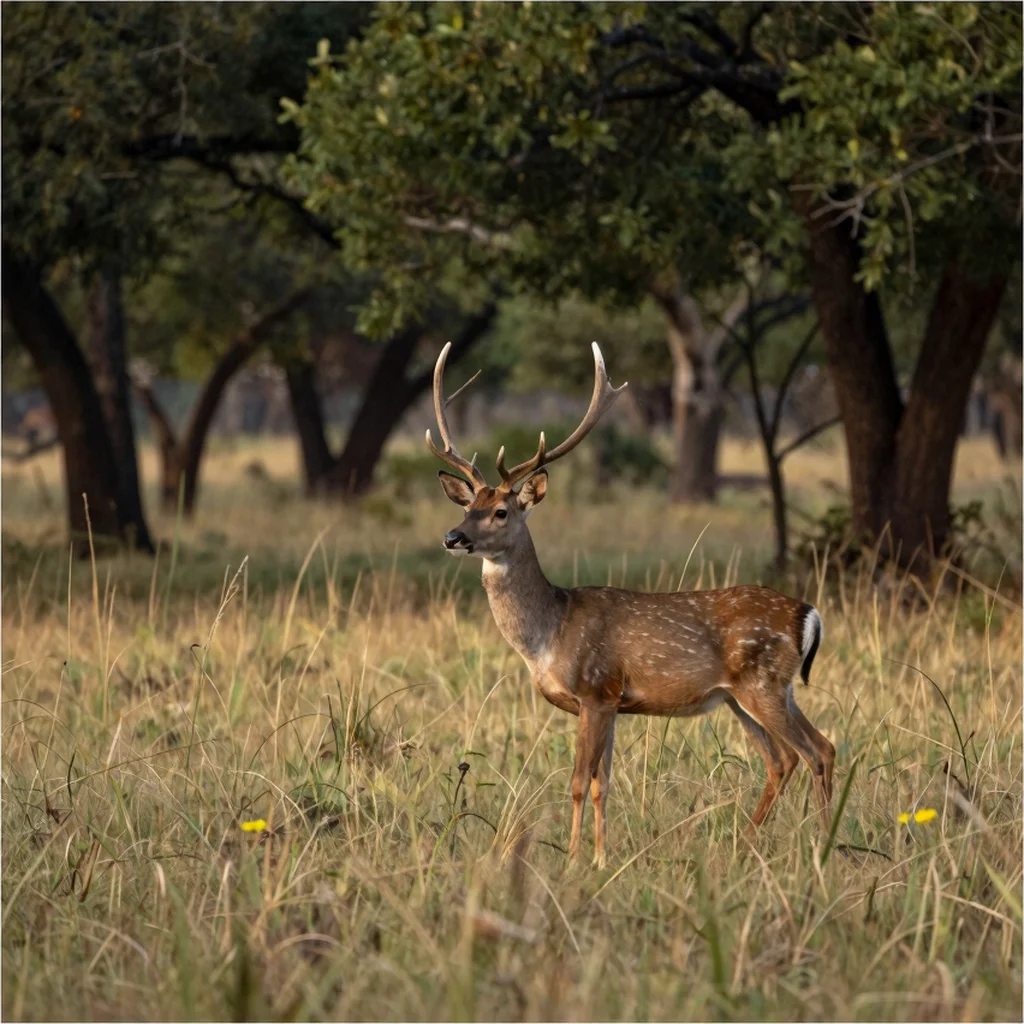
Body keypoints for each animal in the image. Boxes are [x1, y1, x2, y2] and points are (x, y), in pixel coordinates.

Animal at [427, 341, 835, 868]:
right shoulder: (613, 703)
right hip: (754, 693)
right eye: (465, 506)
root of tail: (809, 614)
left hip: (762, 683)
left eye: (500, 511)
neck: (550, 633)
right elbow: (604, 782)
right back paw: (750, 844)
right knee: (792, 756)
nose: (453, 537)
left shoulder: (596, 688)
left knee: (812, 752)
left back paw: (823, 846)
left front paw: (573, 859)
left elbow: (579, 782)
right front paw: (602, 858)